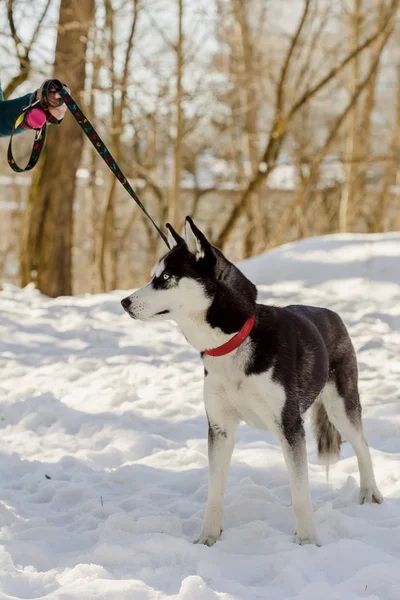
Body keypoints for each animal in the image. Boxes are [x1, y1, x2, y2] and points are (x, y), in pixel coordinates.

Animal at [120, 218, 382, 548]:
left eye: (166, 277)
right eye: (153, 276)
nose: (124, 302)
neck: (233, 341)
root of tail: (331, 313)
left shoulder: (289, 427)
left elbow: (300, 494)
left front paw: (307, 541)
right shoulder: (219, 428)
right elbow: (215, 492)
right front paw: (207, 539)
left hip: (341, 406)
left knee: (363, 444)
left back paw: (370, 492)